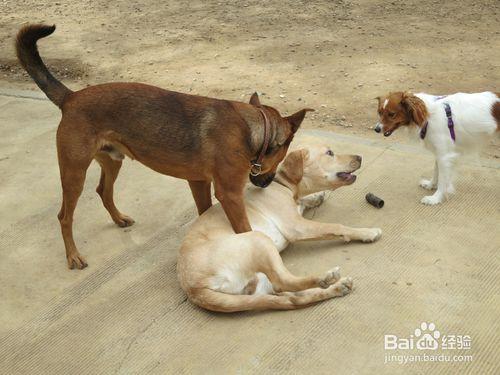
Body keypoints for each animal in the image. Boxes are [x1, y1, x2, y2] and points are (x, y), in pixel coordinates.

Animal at [15, 24, 310, 270]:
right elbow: (244, 229)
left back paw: (119, 219)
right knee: (64, 216)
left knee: (103, 191)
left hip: (112, 161)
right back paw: (73, 256)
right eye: (281, 157)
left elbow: (205, 213)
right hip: (74, 172)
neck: (254, 129)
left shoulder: (198, 182)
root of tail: (71, 97)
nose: (267, 183)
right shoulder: (230, 194)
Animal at [177, 145, 382, 312]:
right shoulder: (297, 227)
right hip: (259, 240)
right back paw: (326, 277)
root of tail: (194, 289)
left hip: (260, 284)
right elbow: (336, 226)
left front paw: (316, 197)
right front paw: (367, 232)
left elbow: (307, 200)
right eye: (329, 153)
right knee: (284, 282)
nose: (360, 157)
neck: (282, 184)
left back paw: (337, 288)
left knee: (293, 299)